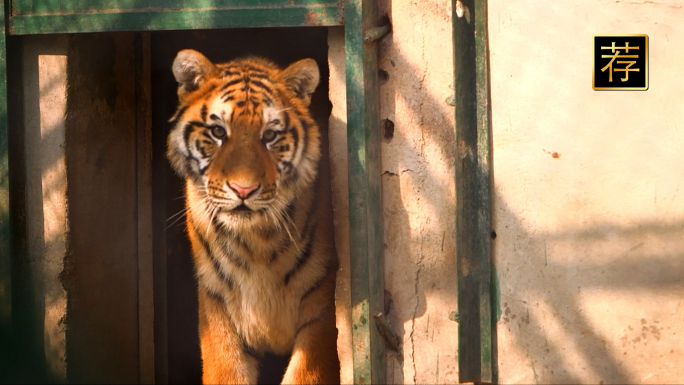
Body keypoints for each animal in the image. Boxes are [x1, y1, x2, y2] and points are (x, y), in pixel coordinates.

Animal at [166, 49, 342, 382]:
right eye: (218, 132)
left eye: (270, 135)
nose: (243, 189)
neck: (257, 241)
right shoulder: (217, 304)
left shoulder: (321, 310)